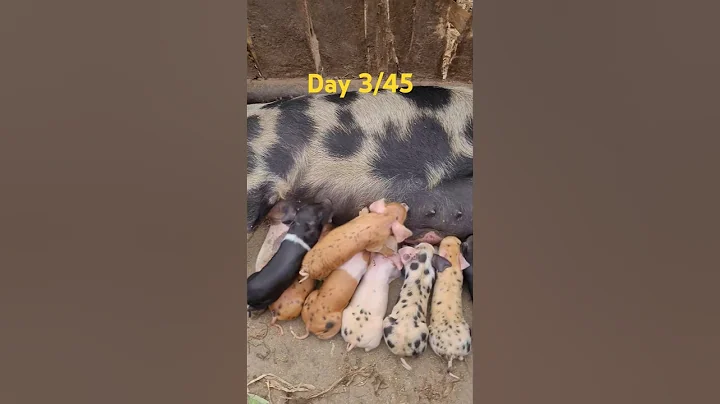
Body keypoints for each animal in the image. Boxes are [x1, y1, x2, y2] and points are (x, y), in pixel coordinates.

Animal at [428, 236, 472, 377]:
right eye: (459, 243)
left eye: (444, 244)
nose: (450, 236)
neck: (452, 264)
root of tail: (451, 351)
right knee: (462, 357)